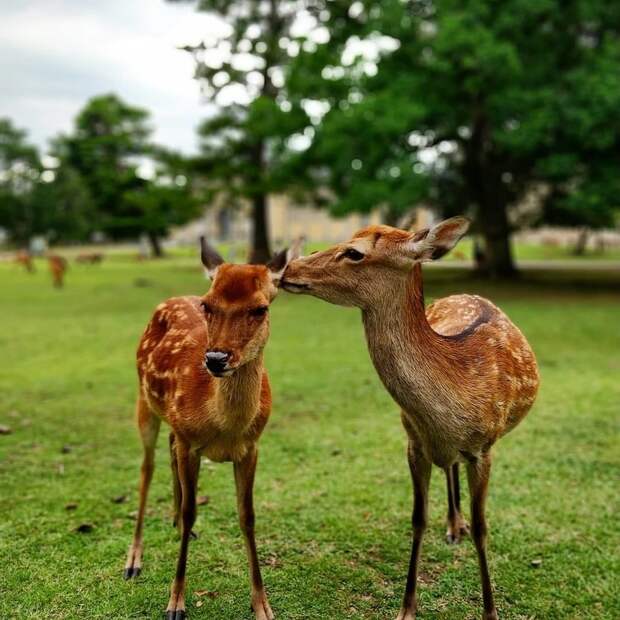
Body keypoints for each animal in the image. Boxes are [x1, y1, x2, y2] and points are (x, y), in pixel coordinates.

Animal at [123, 237, 300, 620]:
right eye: (208, 304)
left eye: (260, 308)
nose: (216, 359)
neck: (224, 424)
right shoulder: (191, 443)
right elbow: (193, 511)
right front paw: (175, 602)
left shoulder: (251, 447)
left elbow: (247, 516)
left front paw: (262, 604)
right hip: (144, 402)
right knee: (146, 467)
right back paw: (134, 559)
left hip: (172, 426)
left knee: (168, 451)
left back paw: (175, 525)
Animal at [280, 218, 536, 620]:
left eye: (355, 252)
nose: (288, 268)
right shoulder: (414, 442)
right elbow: (418, 519)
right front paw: (407, 608)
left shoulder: (484, 448)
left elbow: (483, 528)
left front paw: (490, 611)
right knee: (449, 465)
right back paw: (453, 525)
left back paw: (458, 525)